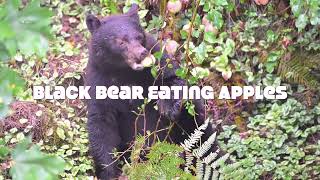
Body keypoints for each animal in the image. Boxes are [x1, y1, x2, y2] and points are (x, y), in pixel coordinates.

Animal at [85, 4, 210, 180]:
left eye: (139, 37)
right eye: (121, 41)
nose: (141, 53)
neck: (125, 73)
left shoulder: (158, 59)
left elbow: (173, 79)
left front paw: (168, 107)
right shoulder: (99, 80)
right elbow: (101, 124)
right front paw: (108, 171)